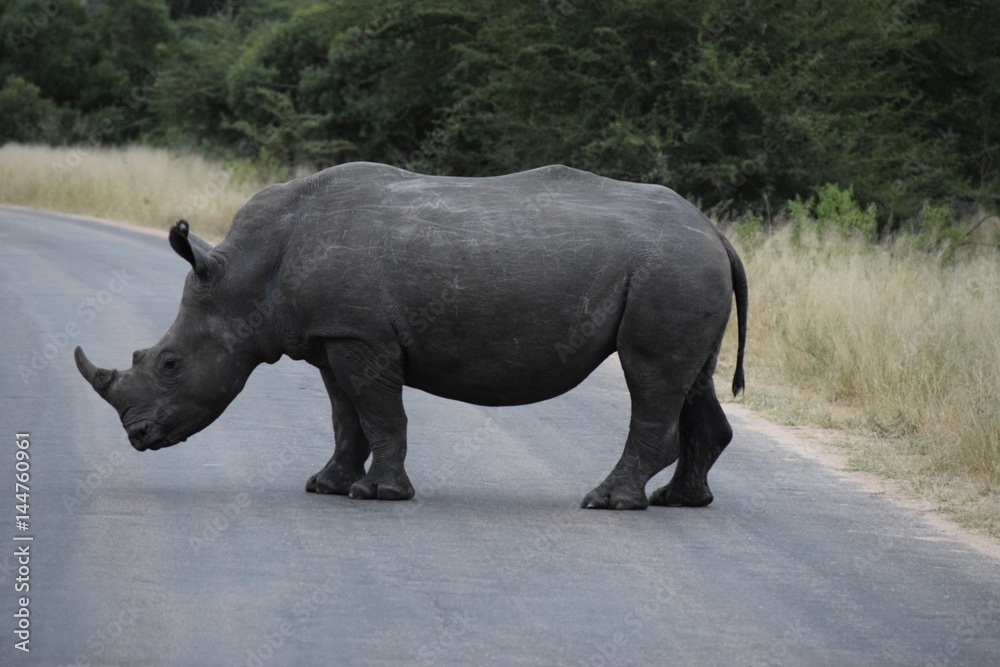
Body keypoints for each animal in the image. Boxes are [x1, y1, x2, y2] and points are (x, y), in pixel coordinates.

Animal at [75, 162, 747, 509]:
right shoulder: (332, 337)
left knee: (650, 375)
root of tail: (715, 231)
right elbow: (345, 416)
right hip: (682, 267)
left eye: (168, 363)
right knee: (691, 379)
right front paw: (326, 486)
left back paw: (608, 502)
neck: (246, 273)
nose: (135, 436)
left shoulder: (361, 335)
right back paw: (680, 502)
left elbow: (380, 412)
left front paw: (378, 495)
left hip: (670, 268)